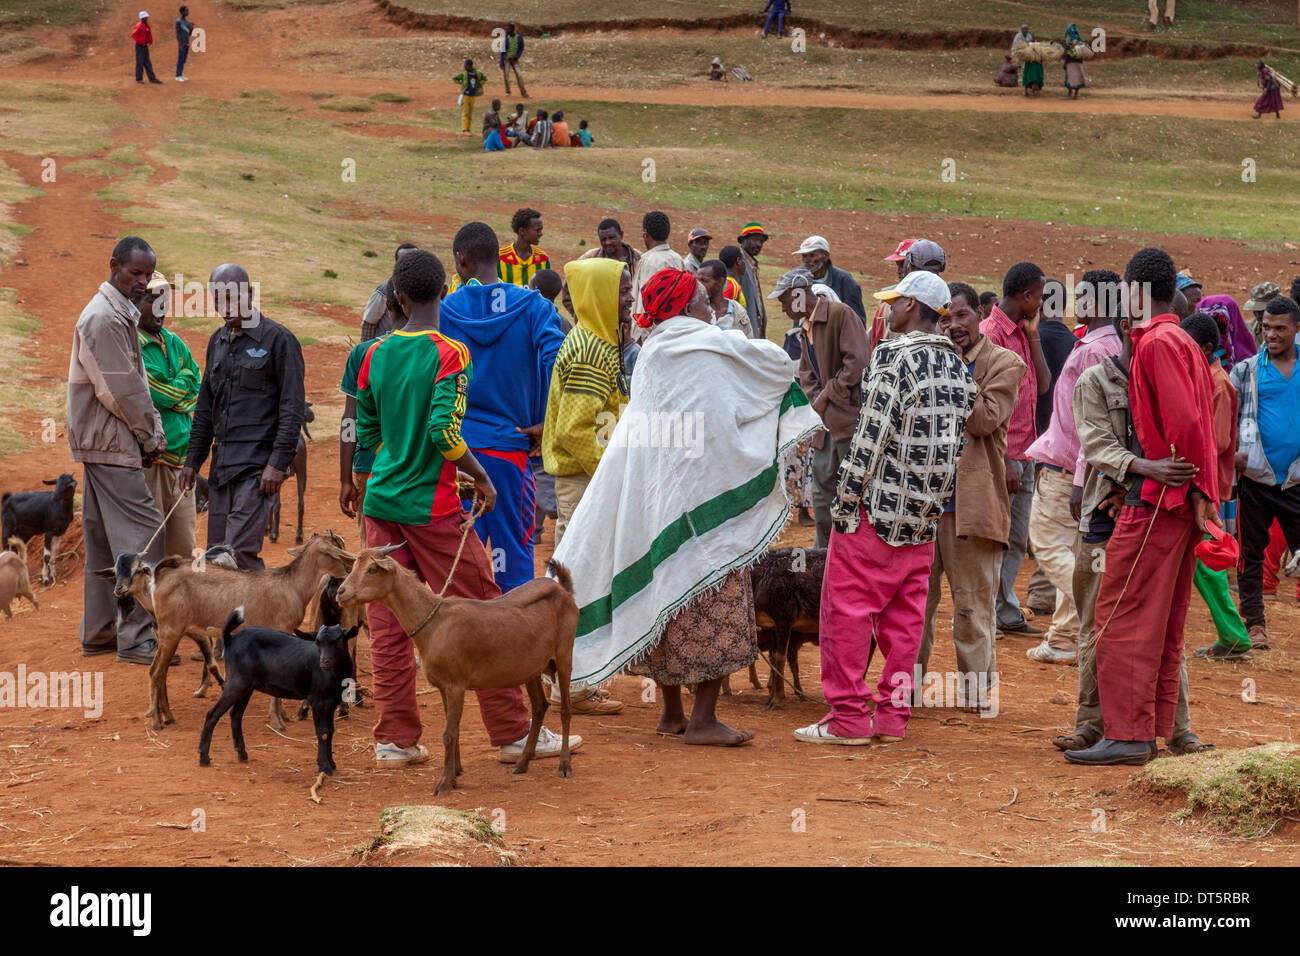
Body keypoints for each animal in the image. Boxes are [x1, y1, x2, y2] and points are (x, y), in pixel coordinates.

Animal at [109, 535, 356, 728]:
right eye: (338, 551)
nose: (348, 573)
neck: (291, 585)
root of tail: (161, 575)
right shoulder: (282, 629)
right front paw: (278, 721)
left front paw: (283, 715)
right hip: (171, 630)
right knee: (156, 672)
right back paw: (157, 722)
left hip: (168, 633)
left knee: (159, 672)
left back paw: (167, 716)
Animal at [196, 608, 356, 775]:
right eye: (317, 642)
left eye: (338, 641)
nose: (324, 661)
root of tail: (230, 639)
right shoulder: (318, 700)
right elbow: (323, 732)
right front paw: (324, 766)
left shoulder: (331, 702)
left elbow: (331, 731)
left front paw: (332, 763)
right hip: (236, 682)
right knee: (213, 713)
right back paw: (204, 757)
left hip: (246, 686)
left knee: (235, 714)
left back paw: (242, 753)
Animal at [338, 548, 577, 796]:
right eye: (353, 566)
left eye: (372, 569)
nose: (341, 592)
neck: (434, 623)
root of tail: (563, 590)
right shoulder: (444, 687)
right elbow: (454, 730)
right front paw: (454, 775)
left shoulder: (455, 686)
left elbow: (448, 734)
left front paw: (444, 783)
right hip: (531, 668)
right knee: (540, 706)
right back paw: (522, 763)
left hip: (564, 655)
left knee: (566, 709)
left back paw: (564, 765)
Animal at [754, 546, 821, 712]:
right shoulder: (773, 626)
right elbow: (775, 658)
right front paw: (771, 697)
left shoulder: (783, 621)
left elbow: (780, 658)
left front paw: (777, 699)